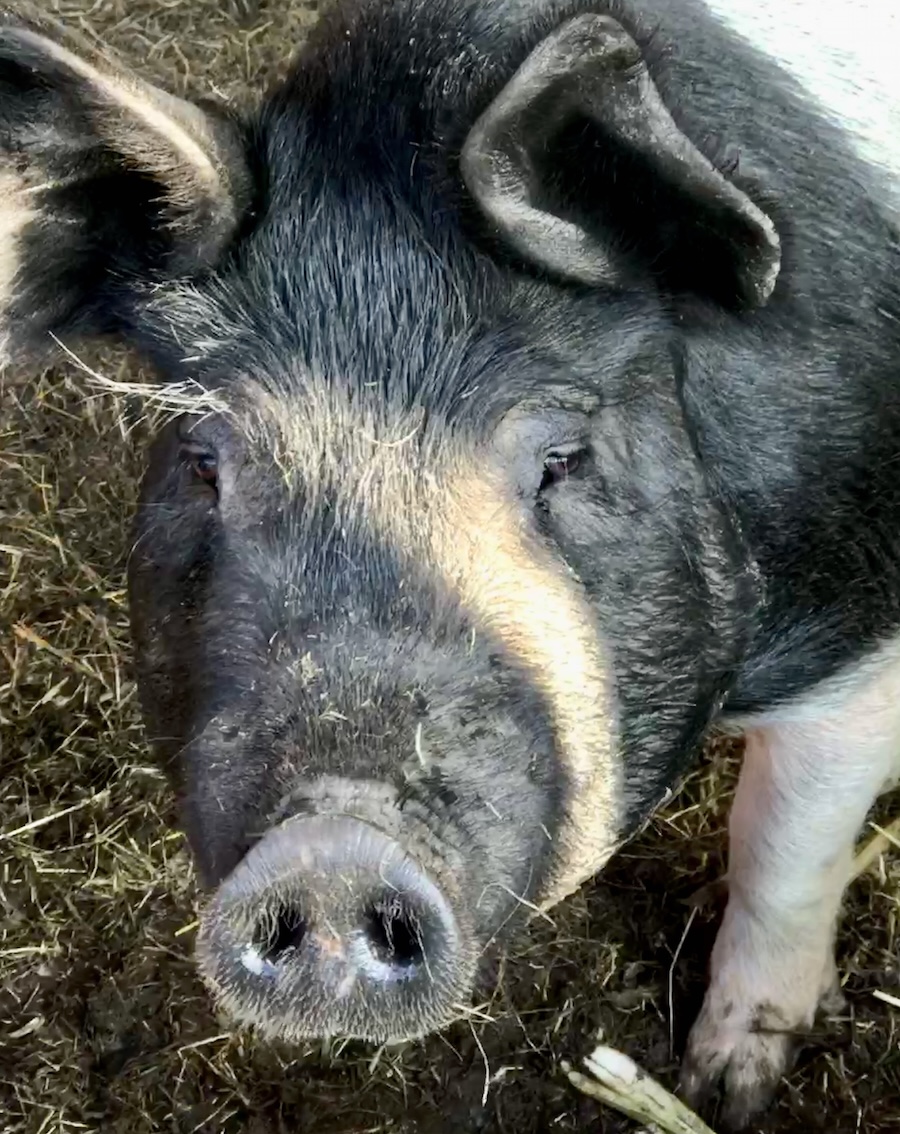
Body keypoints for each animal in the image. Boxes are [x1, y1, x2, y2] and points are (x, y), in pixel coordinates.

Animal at [1, 0, 898, 1127]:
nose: (332, 847)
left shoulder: (858, 637)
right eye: (206, 462)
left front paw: (725, 1088)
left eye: (564, 458)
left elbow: (782, 851)